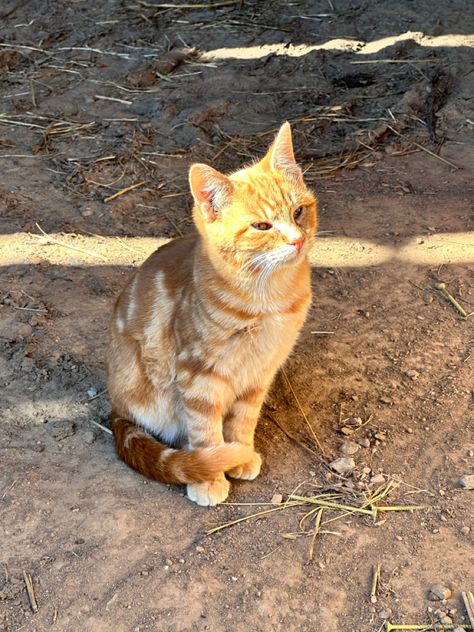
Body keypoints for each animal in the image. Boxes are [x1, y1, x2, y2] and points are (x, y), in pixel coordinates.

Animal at [105, 123, 316, 506]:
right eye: (262, 226)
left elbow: (244, 419)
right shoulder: (198, 375)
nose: (297, 240)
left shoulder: (260, 371)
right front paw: (210, 475)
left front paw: (241, 452)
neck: (267, 297)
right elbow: (205, 429)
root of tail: (117, 406)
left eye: (298, 212)